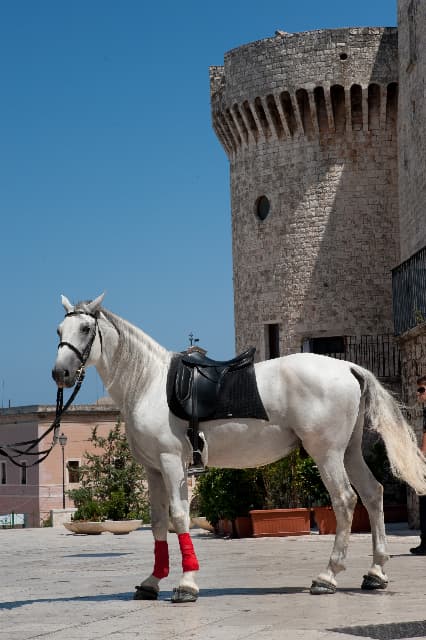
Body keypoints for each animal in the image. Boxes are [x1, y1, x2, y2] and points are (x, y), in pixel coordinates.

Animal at [52, 293, 426, 601]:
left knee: (346, 500)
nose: (61, 373)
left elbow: (179, 517)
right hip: (348, 452)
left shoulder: (172, 464)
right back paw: (375, 573)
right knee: (373, 493)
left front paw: (186, 585)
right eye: (58, 331)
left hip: (327, 454)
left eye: (85, 328)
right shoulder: (154, 469)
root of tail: (348, 366)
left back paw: (327, 577)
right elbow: (158, 522)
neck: (148, 384)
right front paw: (152, 582)